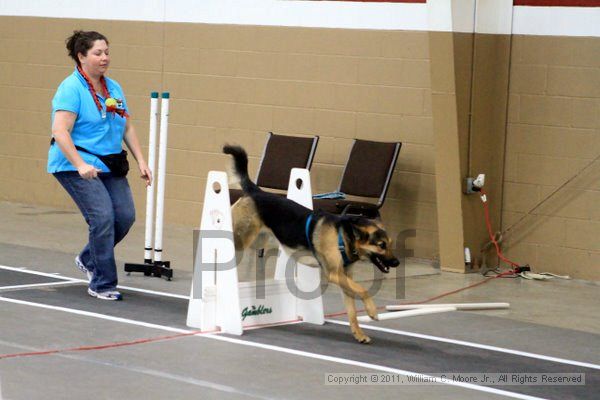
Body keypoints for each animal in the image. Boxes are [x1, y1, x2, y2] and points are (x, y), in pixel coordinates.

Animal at [221, 145, 398, 342]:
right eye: (381, 245)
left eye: (390, 244)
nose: (397, 262)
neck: (343, 236)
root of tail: (257, 192)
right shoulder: (334, 274)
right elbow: (363, 289)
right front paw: (373, 311)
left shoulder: (345, 278)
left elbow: (352, 310)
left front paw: (359, 334)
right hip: (239, 240)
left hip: (256, 241)